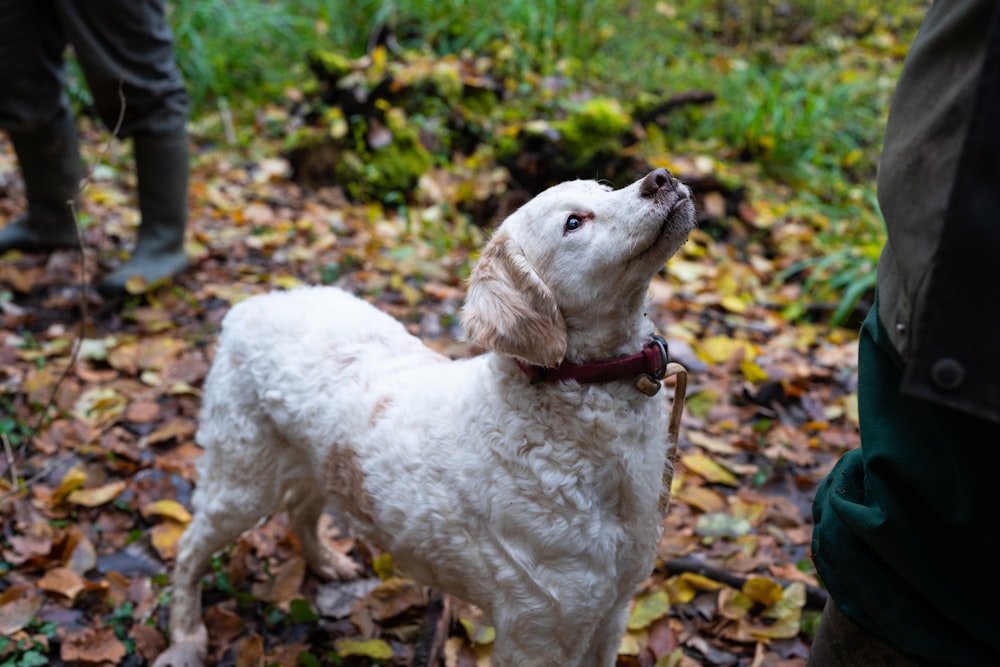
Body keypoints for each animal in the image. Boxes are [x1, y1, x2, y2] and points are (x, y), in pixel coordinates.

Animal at [152, 170, 692, 667]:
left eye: (606, 188)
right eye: (574, 222)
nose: (661, 177)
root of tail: (249, 306)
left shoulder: (612, 612)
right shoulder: (537, 632)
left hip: (317, 461)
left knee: (301, 510)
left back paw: (326, 561)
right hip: (241, 479)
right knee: (191, 547)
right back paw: (186, 636)